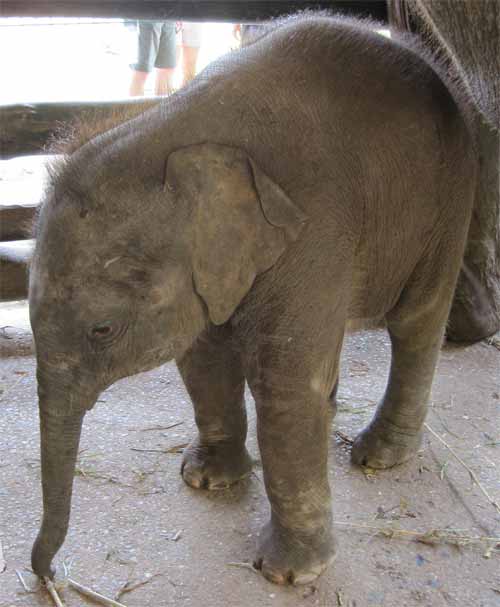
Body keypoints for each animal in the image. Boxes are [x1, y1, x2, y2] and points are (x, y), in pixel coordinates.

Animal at [28, 13, 476, 584]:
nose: (48, 576)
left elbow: (285, 385)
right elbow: (203, 356)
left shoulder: (314, 228)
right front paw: (205, 480)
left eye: (102, 330)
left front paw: (288, 575)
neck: (173, 129)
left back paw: (379, 457)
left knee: (417, 321)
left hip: (448, 197)